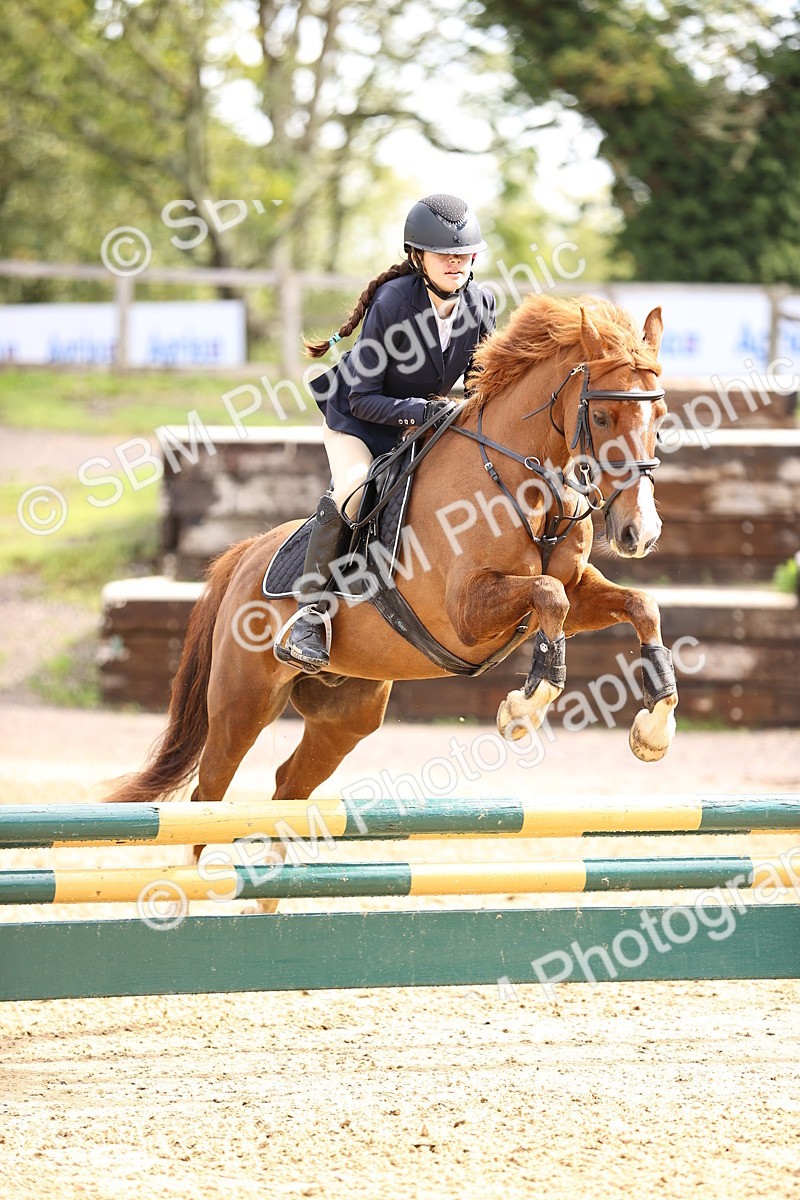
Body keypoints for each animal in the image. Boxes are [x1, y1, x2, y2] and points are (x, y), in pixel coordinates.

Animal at [107, 294, 678, 834]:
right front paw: (526, 706)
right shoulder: (466, 612)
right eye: (600, 417)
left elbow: (638, 604)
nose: (641, 532)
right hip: (242, 704)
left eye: (659, 418)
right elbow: (547, 595)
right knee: (208, 793)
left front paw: (655, 726)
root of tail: (244, 556)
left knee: (289, 785)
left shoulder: (574, 593)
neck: (523, 479)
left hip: (346, 712)